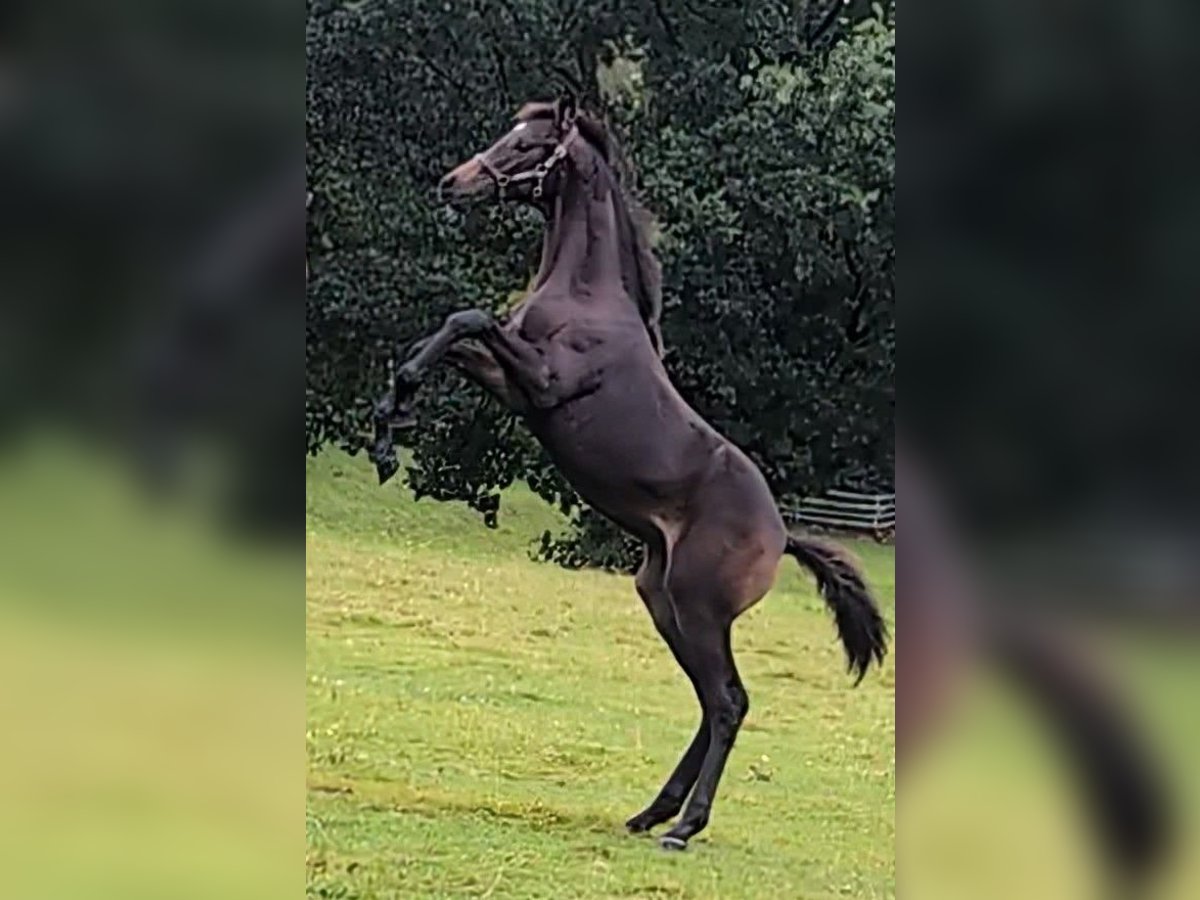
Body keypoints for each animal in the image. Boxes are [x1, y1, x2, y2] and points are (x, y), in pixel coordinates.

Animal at [369, 98, 888, 854]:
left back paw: (684, 827)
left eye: (528, 144)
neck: (586, 297)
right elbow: (447, 337)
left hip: (699, 607)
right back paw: (653, 813)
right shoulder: (513, 380)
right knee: (712, 701)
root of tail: (782, 534)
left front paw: (391, 425)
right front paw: (389, 423)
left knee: (728, 701)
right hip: (664, 602)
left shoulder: (542, 383)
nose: (452, 183)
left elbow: (465, 318)